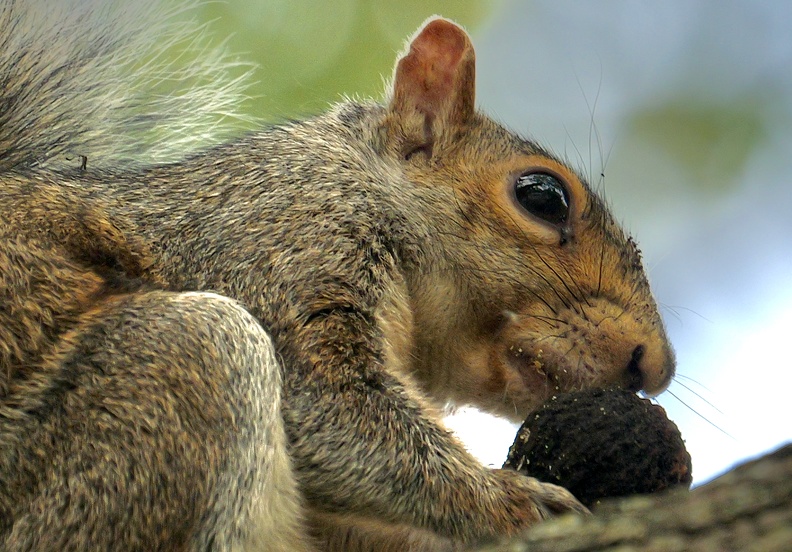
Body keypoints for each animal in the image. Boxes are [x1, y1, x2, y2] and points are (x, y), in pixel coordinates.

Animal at [0, 2, 676, 548]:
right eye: (543, 197)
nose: (655, 366)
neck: (366, 185)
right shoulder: (277, 244)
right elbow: (330, 409)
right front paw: (513, 499)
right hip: (180, 368)